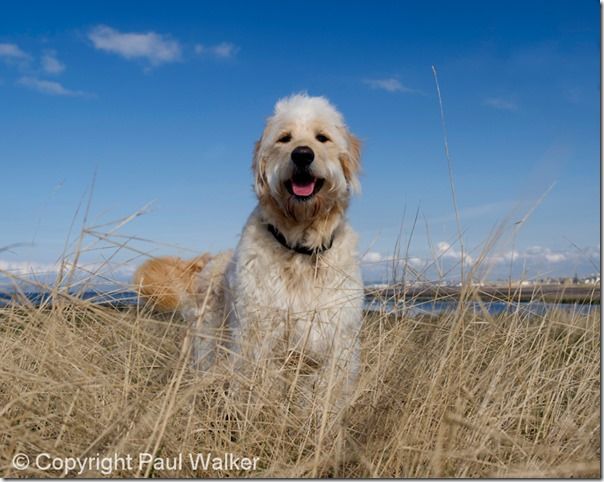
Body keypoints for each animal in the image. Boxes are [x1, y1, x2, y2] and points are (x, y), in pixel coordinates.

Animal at [134, 94, 364, 410]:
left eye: (322, 137)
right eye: (284, 138)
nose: (302, 155)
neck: (300, 249)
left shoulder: (336, 344)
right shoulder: (258, 340)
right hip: (206, 344)